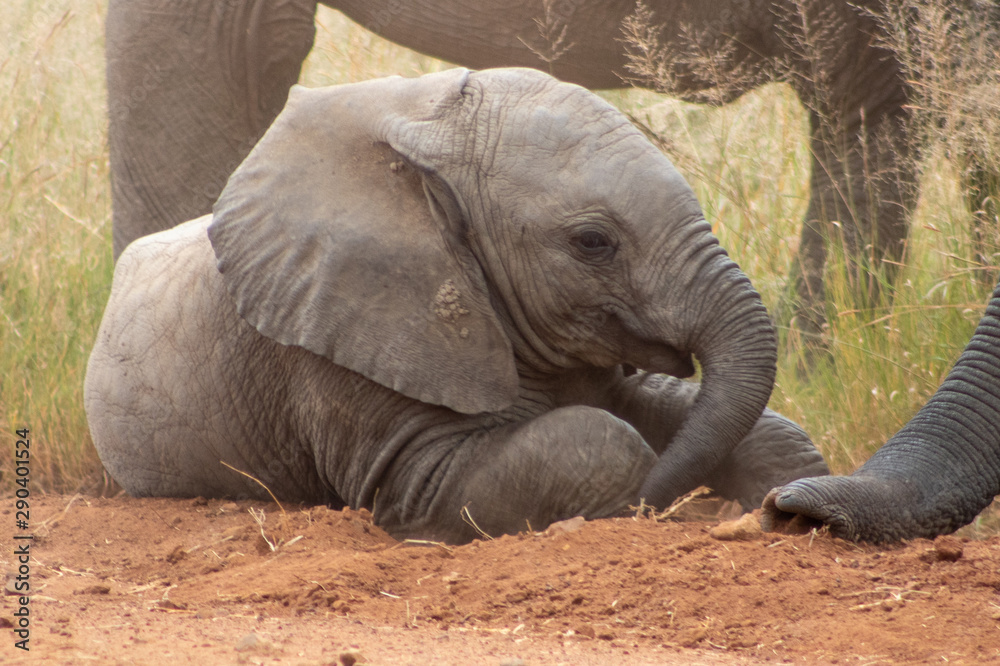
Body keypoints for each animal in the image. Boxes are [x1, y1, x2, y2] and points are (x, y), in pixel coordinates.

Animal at [85, 68, 828, 544]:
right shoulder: (343, 335)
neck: (422, 128)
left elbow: (744, 428)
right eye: (594, 243)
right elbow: (589, 441)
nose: (659, 508)